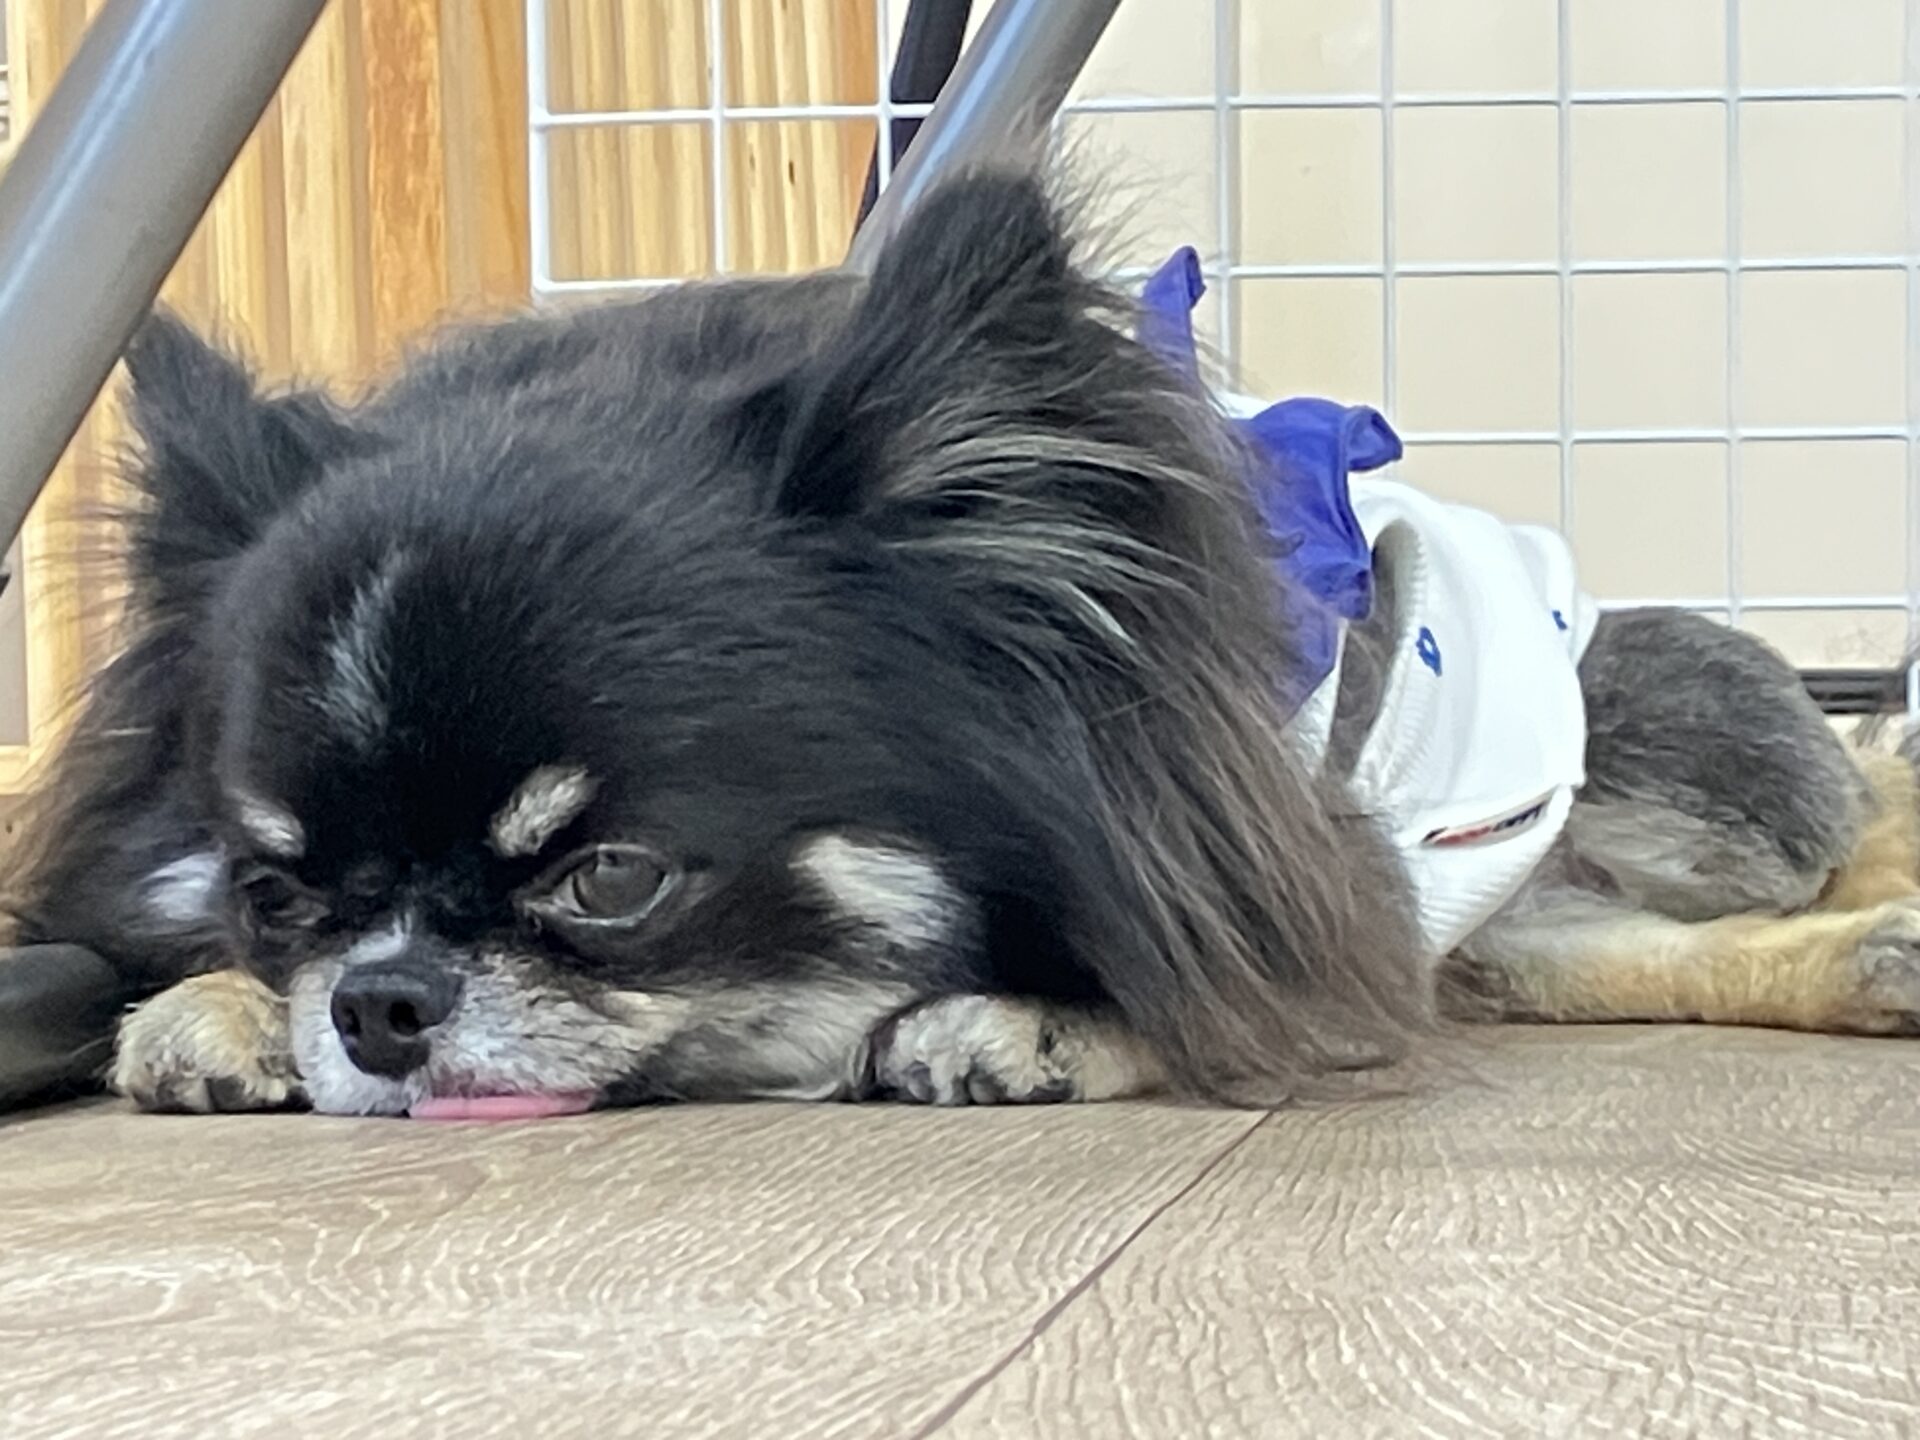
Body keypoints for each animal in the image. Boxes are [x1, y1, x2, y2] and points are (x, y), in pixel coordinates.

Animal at [3, 170, 1917, 1119]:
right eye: (273, 893)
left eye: (612, 879)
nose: (381, 999)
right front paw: (217, 1005)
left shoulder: (1284, 860)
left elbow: (1245, 983)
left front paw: (1035, 1019)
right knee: (1584, 957)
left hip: (1712, 777)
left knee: (1816, 825)